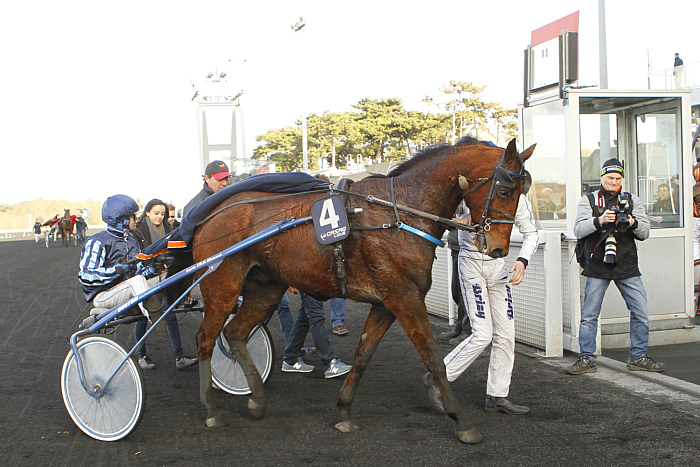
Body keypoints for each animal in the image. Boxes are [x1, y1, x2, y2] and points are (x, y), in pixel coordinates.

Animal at [165, 137, 536, 444]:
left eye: (522, 191)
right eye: (505, 191)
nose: (499, 248)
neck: (399, 211)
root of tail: (209, 215)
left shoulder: (386, 303)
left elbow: (362, 356)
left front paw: (343, 411)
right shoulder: (405, 298)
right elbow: (433, 359)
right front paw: (462, 422)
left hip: (265, 288)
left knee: (236, 333)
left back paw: (256, 399)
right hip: (222, 285)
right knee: (206, 339)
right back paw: (211, 409)